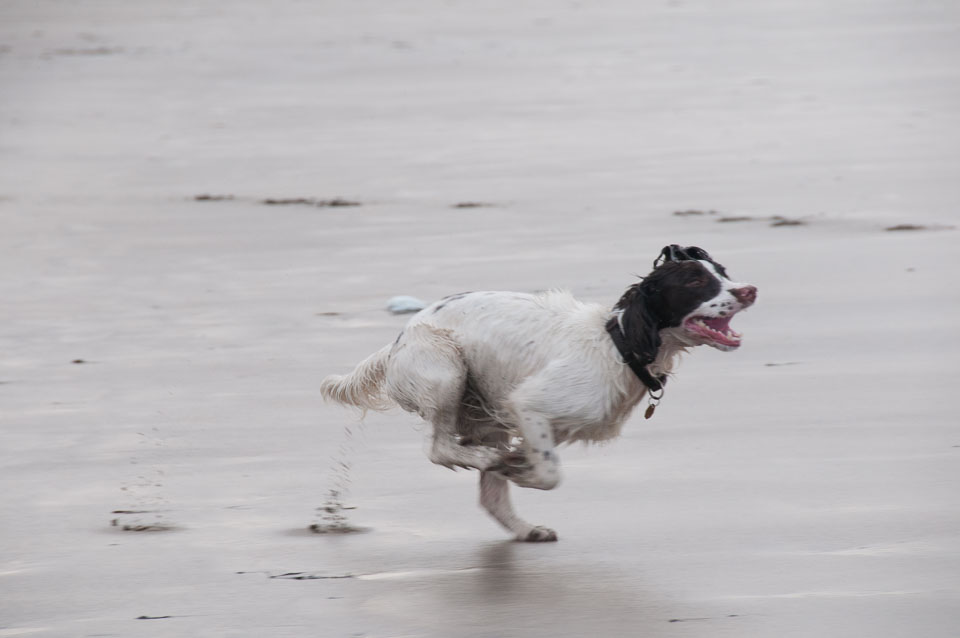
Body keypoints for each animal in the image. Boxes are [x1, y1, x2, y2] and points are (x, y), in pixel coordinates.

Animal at [322, 248, 756, 544]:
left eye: (723, 273)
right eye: (694, 281)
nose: (749, 290)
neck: (617, 345)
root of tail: (398, 340)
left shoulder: (540, 423)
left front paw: (516, 469)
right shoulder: (528, 404)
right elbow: (550, 474)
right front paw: (518, 469)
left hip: (483, 412)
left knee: (488, 494)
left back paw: (525, 528)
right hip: (447, 370)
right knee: (439, 448)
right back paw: (493, 461)